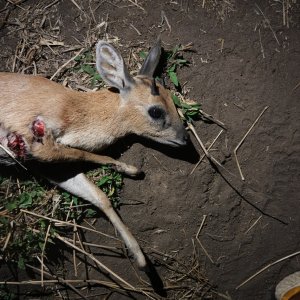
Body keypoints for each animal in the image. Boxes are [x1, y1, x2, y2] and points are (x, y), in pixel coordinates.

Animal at [0, 39, 188, 268]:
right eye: (156, 111)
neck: (72, 109)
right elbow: (81, 154)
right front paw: (131, 169)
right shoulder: (36, 145)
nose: (184, 139)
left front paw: (139, 257)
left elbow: (99, 196)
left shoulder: (45, 165)